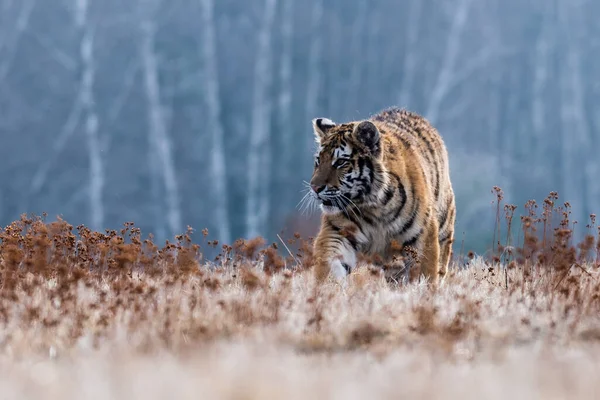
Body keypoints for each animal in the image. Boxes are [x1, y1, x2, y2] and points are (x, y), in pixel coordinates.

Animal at [310, 108, 454, 286]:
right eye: (318, 160)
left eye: (340, 162)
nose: (314, 187)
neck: (375, 206)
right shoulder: (337, 232)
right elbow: (330, 264)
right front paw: (326, 289)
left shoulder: (423, 234)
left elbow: (425, 273)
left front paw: (425, 291)